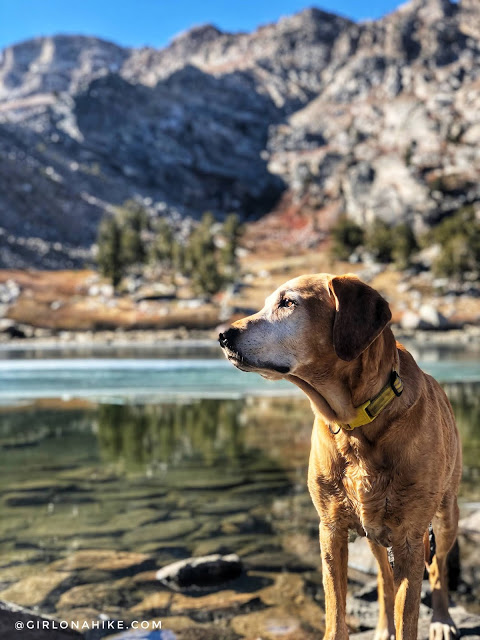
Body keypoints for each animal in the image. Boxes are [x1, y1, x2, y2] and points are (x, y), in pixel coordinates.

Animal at [220, 274, 462, 640]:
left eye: (288, 302)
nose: (223, 336)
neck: (355, 425)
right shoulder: (331, 529)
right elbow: (336, 608)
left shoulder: (408, 537)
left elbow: (409, 613)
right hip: (375, 533)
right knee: (383, 578)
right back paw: (383, 627)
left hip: (445, 516)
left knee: (438, 566)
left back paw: (443, 620)